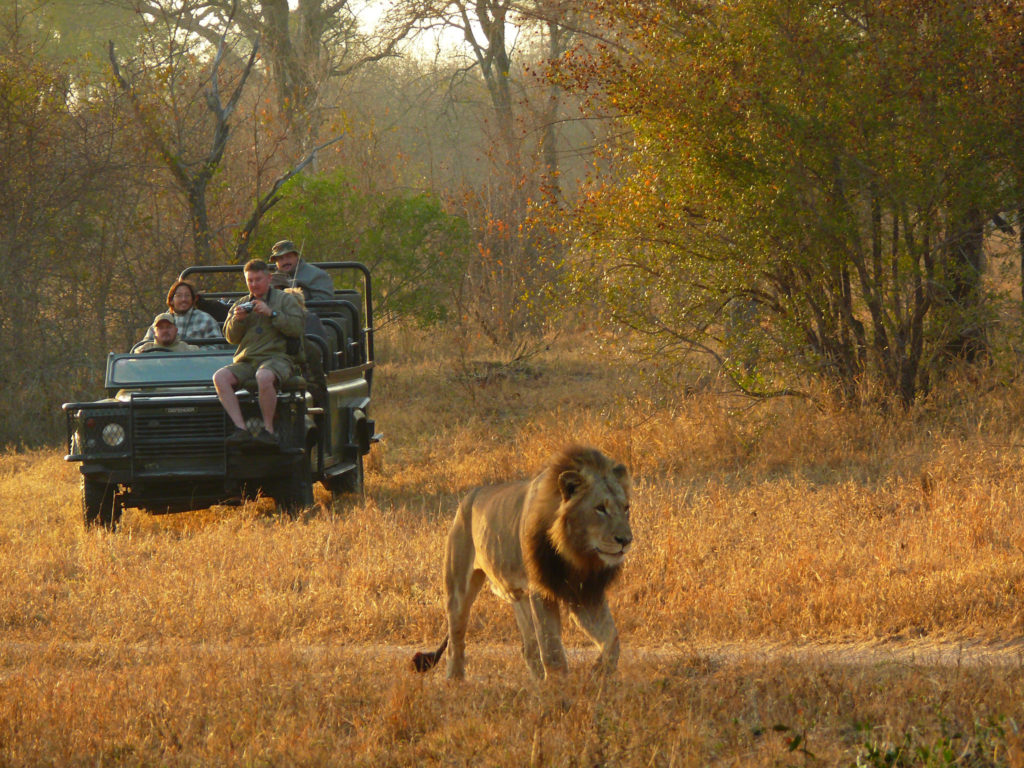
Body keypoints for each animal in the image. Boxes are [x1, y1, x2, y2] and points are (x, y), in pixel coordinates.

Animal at [407, 444, 630, 679]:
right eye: (600, 508)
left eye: (626, 508)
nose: (626, 540)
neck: (576, 553)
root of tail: (468, 498)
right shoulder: (541, 591)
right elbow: (552, 649)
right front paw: (559, 685)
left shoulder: (585, 593)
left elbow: (612, 640)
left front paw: (598, 673)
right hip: (458, 588)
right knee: (455, 640)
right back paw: (455, 681)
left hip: (519, 597)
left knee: (528, 648)